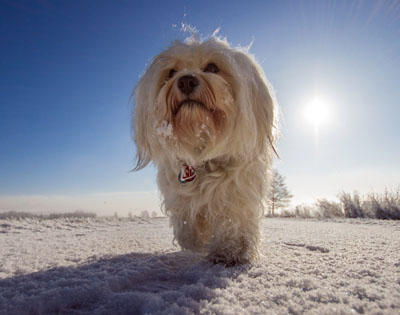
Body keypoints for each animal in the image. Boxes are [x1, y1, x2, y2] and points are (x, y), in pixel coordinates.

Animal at [133, 35, 276, 266]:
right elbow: (186, 220)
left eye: (212, 67)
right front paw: (195, 240)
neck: (202, 151)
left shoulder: (237, 191)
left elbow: (234, 220)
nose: (186, 80)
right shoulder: (178, 192)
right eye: (171, 72)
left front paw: (231, 252)